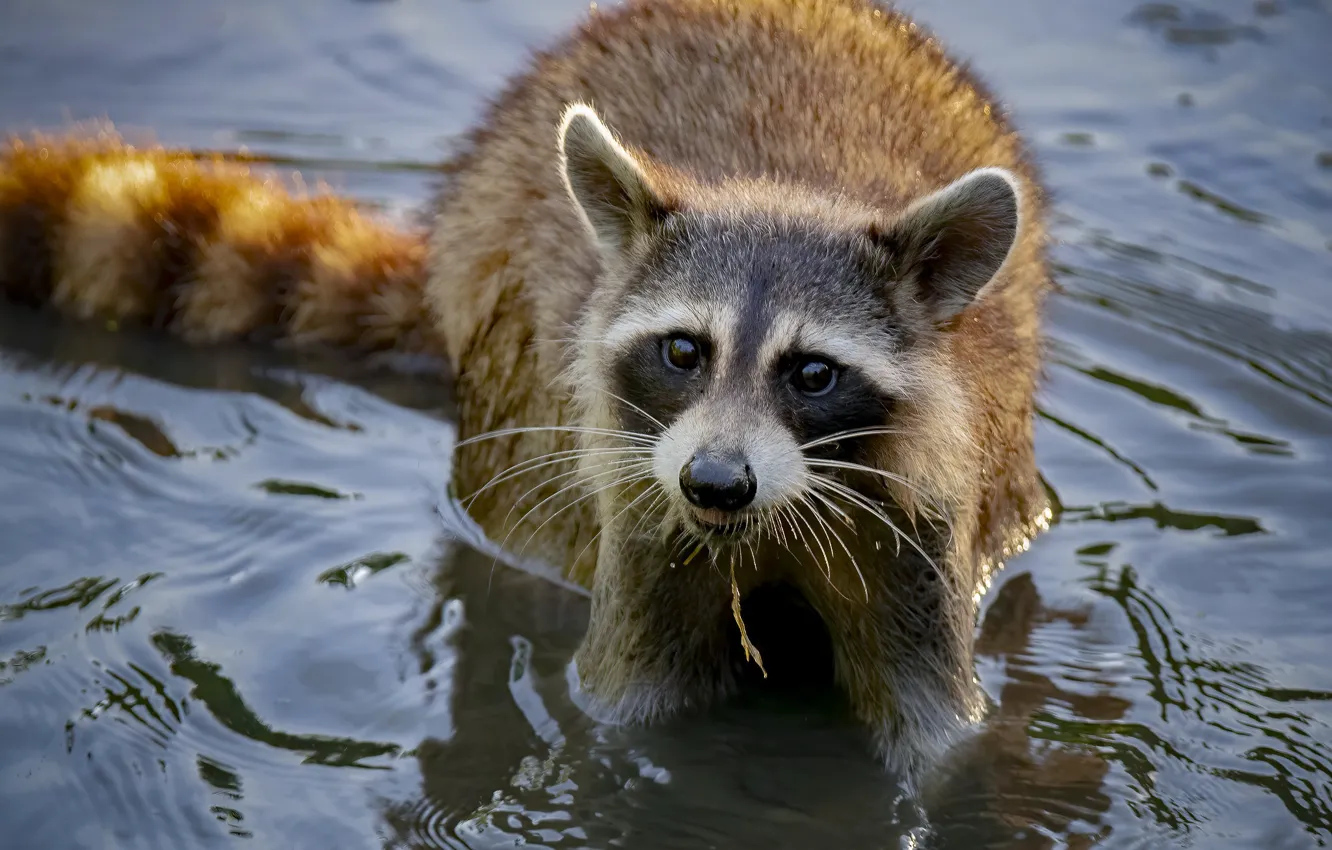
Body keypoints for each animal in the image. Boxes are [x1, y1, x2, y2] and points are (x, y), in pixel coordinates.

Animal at [0, 0, 1052, 788]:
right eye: (684, 350)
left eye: (813, 373)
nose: (716, 483)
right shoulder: (641, 497)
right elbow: (622, 704)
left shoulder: (918, 524)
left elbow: (938, 727)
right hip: (509, 374)